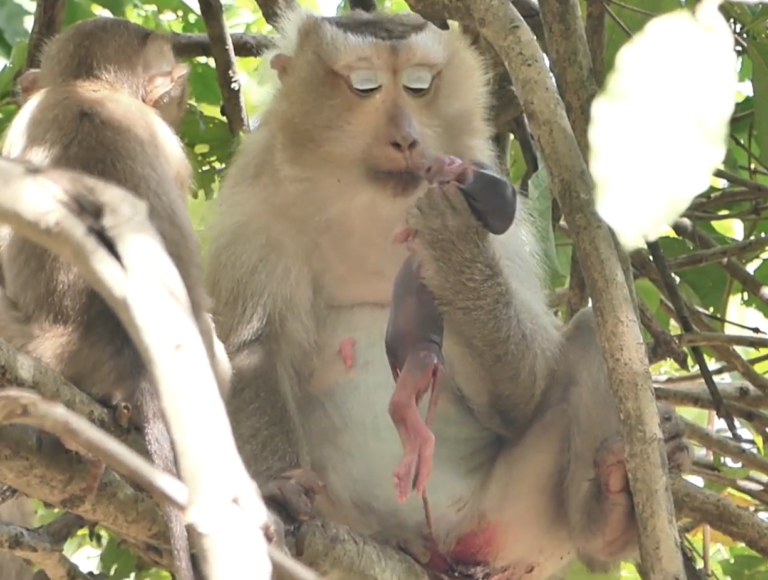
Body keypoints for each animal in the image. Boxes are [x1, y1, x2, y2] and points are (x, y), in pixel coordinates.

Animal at [204, 7, 691, 580]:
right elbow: (250, 348)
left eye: (419, 86)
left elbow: (524, 391)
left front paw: (454, 247)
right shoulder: (256, 194)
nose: (406, 139)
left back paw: (608, 515)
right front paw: (276, 489)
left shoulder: (490, 184)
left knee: (598, 333)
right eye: (364, 86)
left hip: (508, 525)